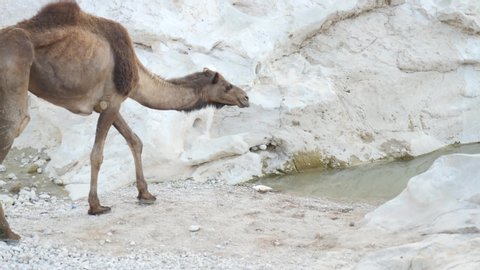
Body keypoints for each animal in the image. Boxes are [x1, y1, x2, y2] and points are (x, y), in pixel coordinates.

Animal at [0, 1, 248, 243]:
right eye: (227, 86)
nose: (245, 97)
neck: (137, 74)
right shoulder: (113, 100)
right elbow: (97, 155)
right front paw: (96, 206)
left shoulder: (110, 103)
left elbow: (135, 140)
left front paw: (145, 194)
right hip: (16, 74)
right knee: (15, 126)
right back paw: (9, 233)